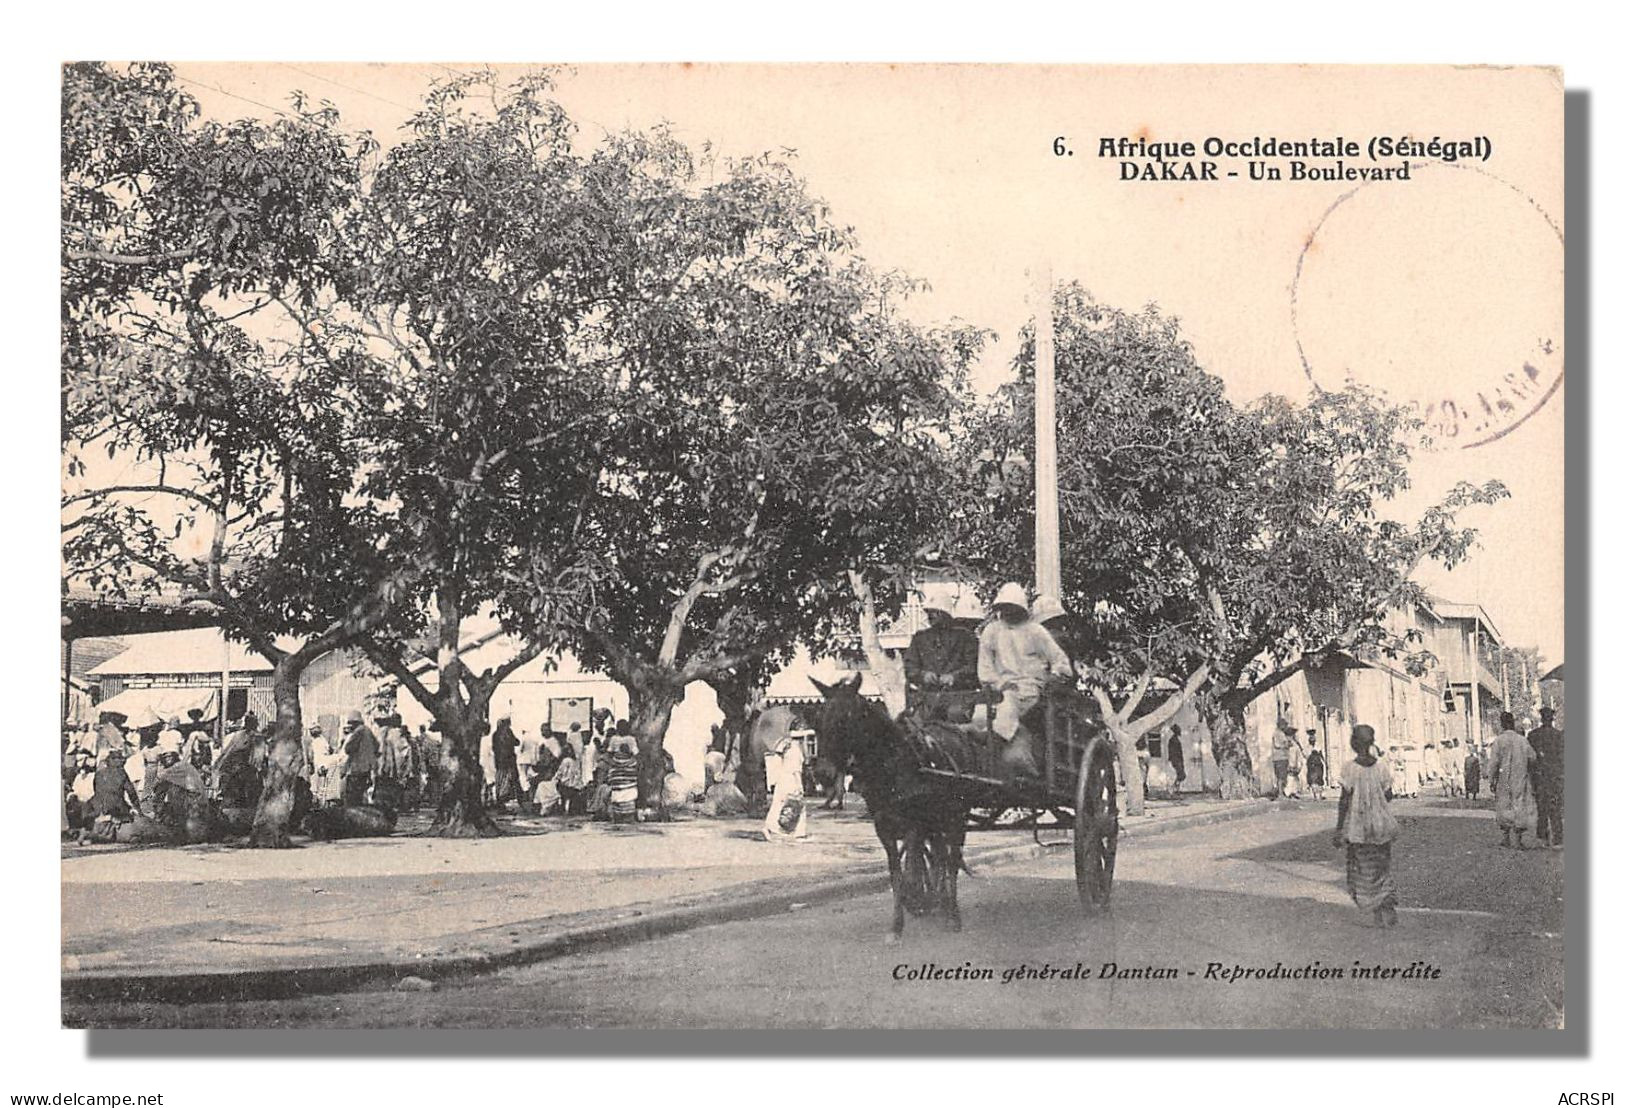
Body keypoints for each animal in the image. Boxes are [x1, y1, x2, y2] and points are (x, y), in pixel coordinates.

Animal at [809, 669, 962, 935]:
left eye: (846, 719)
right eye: (817, 720)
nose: (823, 774)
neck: (891, 766)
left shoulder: (914, 825)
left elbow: (910, 869)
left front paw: (917, 899)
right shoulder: (884, 828)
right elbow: (896, 875)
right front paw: (897, 925)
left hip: (955, 817)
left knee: (951, 861)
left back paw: (952, 913)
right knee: (941, 855)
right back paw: (940, 901)